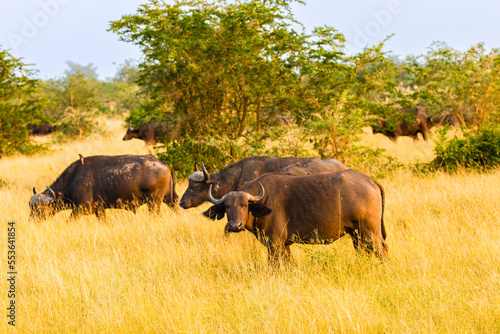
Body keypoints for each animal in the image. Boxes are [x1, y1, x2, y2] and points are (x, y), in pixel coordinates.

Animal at [29, 155, 178, 220]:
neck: (72, 180)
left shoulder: (80, 209)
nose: (32, 221)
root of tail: (165, 165)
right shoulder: (99, 211)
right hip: (169, 198)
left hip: (154, 202)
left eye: (38, 209)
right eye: (31, 208)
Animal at [202, 171, 386, 264]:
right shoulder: (284, 245)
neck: (263, 201)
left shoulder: (274, 244)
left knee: (382, 251)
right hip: (356, 234)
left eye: (245, 205)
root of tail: (369, 180)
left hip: (370, 233)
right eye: (227, 206)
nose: (235, 226)